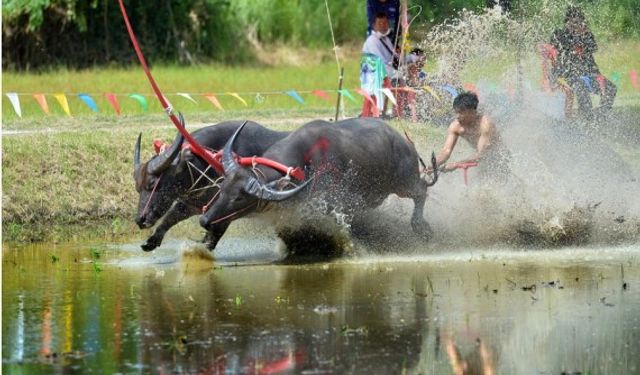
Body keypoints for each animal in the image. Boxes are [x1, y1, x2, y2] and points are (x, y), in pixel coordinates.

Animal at [134, 120, 288, 253]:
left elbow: (211, 239)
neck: (208, 161)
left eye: (152, 183)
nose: (140, 220)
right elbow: (171, 217)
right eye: (137, 188)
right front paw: (152, 240)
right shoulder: (194, 204)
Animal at [200, 117, 438, 254]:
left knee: (421, 191)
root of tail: (403, 140)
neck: (304, 162)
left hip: (404, 182)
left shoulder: (338, 205)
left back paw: (422, 227)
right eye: (222, 189)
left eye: (240, 198)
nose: (204, 220)